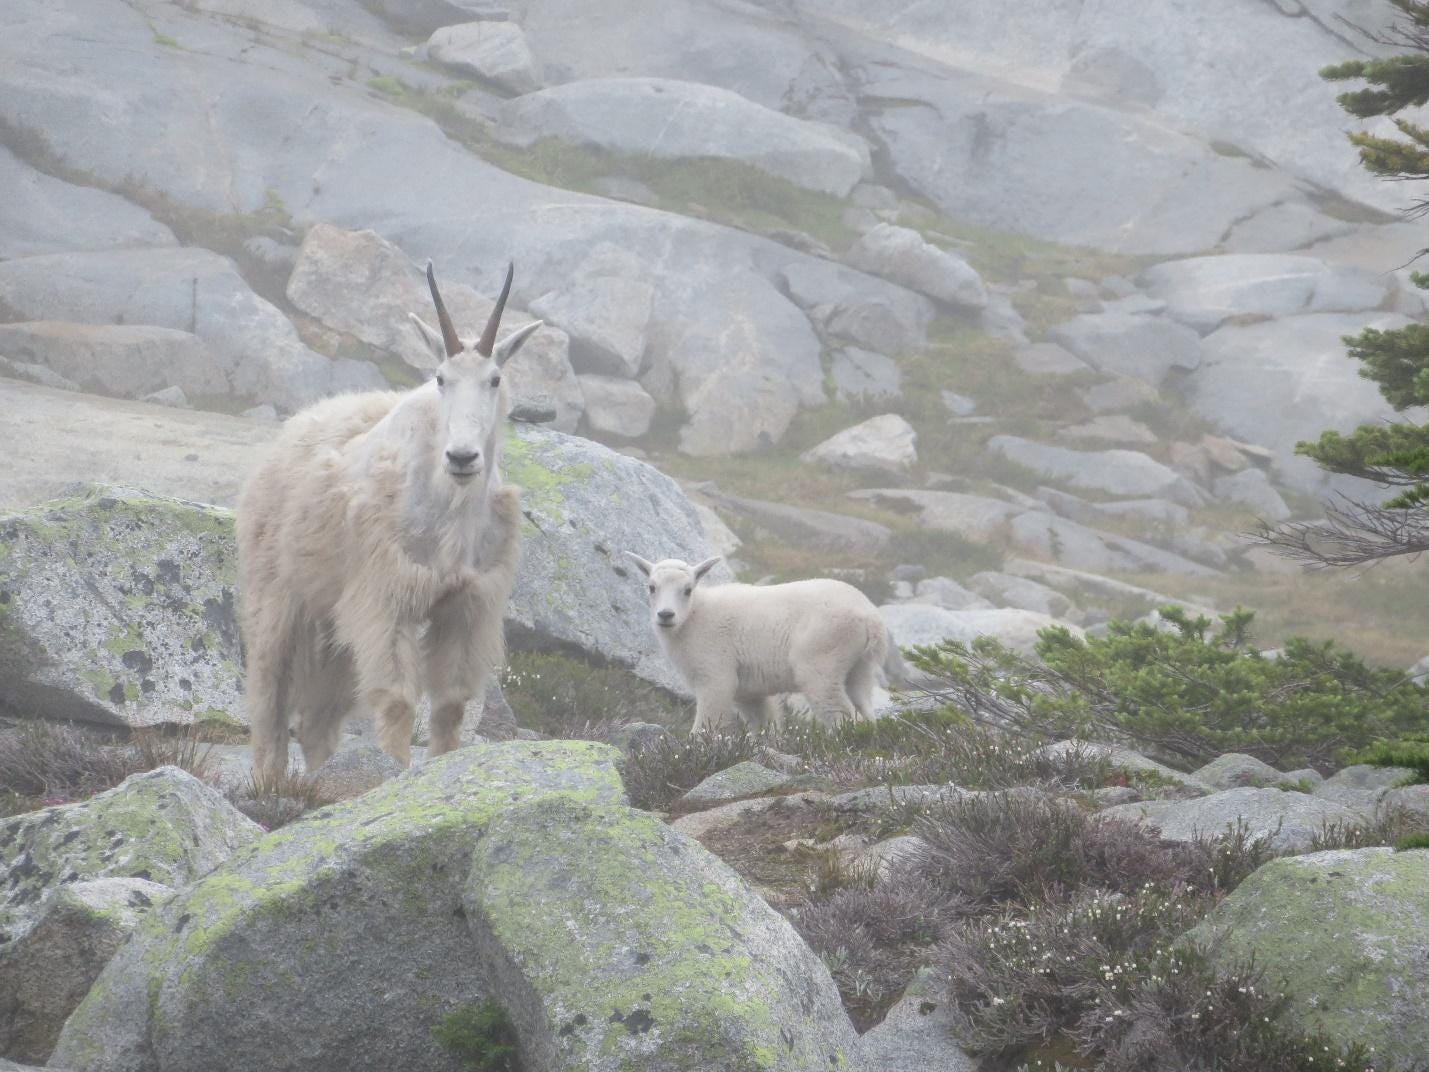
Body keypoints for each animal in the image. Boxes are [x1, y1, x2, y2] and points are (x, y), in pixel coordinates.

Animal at [241, 264, 540, 783]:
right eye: (440, 378)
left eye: (495, 379)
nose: (462, 457)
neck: (451, 504)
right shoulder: (387, 595)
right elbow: (398, 700)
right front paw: (395, 772)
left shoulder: (466, 605)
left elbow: (450, 704)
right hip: (277, 598)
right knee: (269, 695)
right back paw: (270, 781)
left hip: (333, 620)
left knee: (319, 718)